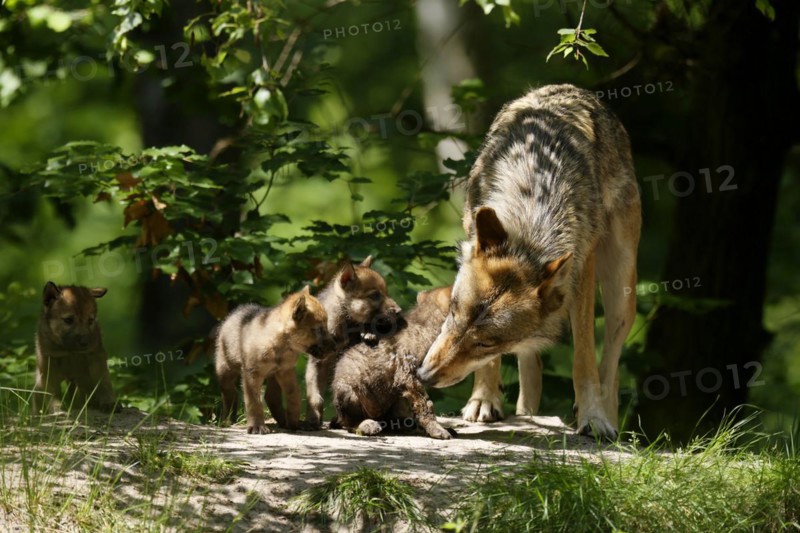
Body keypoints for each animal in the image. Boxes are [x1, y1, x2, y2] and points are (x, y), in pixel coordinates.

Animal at [34, 281, 116, 413]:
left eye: (90, 320)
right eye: (68, 320)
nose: (85, 342)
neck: (69, 351)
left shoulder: (96, 356)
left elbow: (103, 382)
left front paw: (109, 402)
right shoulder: (48, 362)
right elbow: (51, 390)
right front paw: (56, 408)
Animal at [215, 286, 333, 434]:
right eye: (319, 329)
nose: (335, 347)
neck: (280, 346)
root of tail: (234, 312)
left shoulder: (286, 371)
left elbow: (293, 396)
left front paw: (293, 423)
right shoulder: (252, 374)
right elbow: (254, 401)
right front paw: (257, 426)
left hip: (272, 375)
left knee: (271, 397)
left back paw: (282, 421)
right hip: (225, 369)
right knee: (229, 393)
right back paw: (227, 420)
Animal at [303, 256, 402, 429]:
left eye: (386, 293)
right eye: (375, 296)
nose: (399, 311)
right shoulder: (317, 363)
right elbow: (315, 396)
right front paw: (312, 419)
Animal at [332, 286, 453, 440]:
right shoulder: (409, 377)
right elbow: (425, 406)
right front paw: (437, 429)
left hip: (394, 395)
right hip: (349, 391)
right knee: (347, 423)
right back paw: (366, 424)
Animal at [417, 84, 641, 440]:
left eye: (485, 342)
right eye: (453, 313)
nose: (424, 376)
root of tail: (573, 88)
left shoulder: (582, 273)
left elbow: (584, 360)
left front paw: (592, 418)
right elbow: (496, 365)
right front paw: (483, 401)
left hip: (622, 292)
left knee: (610, 367)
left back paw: (605, 418)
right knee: (531, 368)